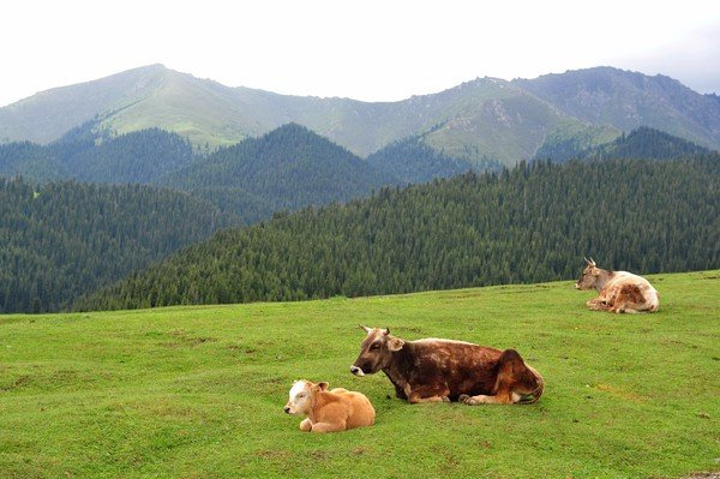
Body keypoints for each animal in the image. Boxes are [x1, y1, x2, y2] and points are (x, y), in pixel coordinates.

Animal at [350, 326, 544, 404]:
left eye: (375, 346)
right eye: (362, 344)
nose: (354, 368)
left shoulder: (440, 386)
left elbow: (413, 396)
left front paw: (442, 399)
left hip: (510, 356)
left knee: (504, 398)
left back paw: (475, 399)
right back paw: (465, 397)